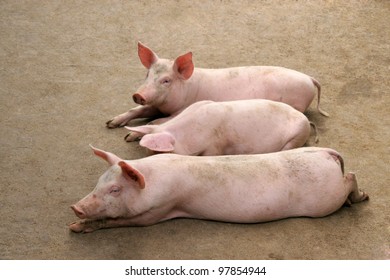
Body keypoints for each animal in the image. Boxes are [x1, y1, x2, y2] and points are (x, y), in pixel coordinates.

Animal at [69, 145, 368, 233]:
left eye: (115, 190)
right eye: (98, 182)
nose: (75, 206)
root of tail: (326, 152)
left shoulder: (156, 211)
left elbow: (117, 220)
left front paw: (74, 228)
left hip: (326, 198)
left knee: (351, 177)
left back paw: (362, 197)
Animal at [105, 42, 328, 129]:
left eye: (166, 80)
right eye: (147, 74)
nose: (138, 95)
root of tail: (310, 78)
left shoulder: (181, 109)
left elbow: (161, 120)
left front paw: (129, 136)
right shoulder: (156, 104)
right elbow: (137, 110)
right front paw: (111, 123)